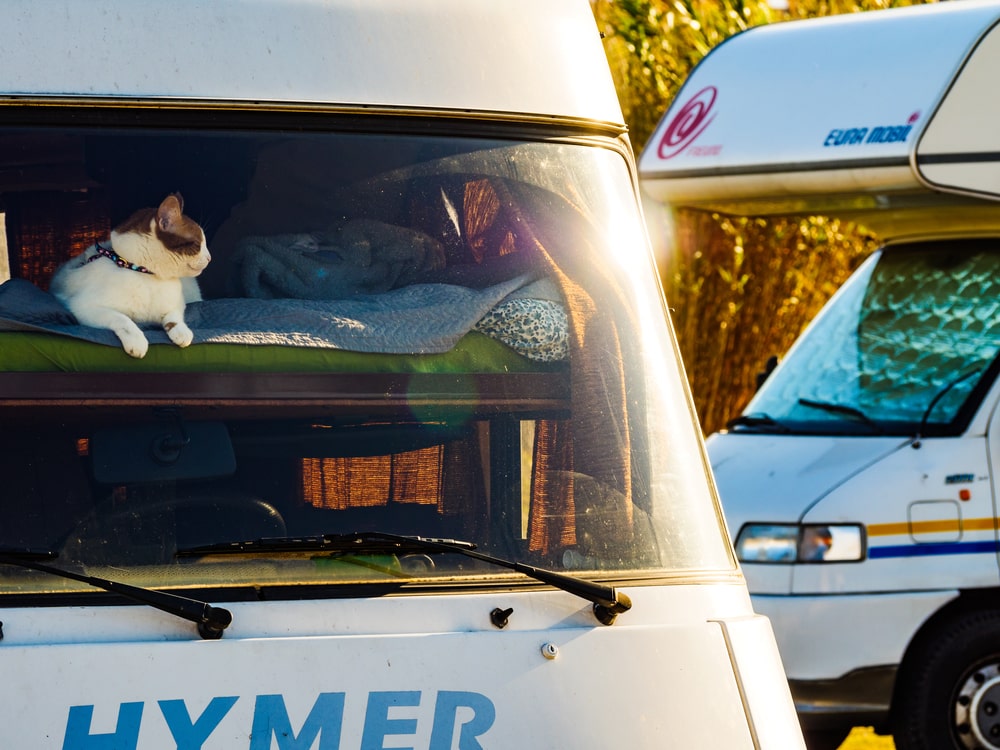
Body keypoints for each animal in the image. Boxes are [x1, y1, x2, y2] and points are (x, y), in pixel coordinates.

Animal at [50, 192, 211, 360]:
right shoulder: (82, 306)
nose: (209, 258)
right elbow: (122, 319)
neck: (145, 274)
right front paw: (137, 341)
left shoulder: (178, 304)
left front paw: (181, 331)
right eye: (197, 244)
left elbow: (174, 316)